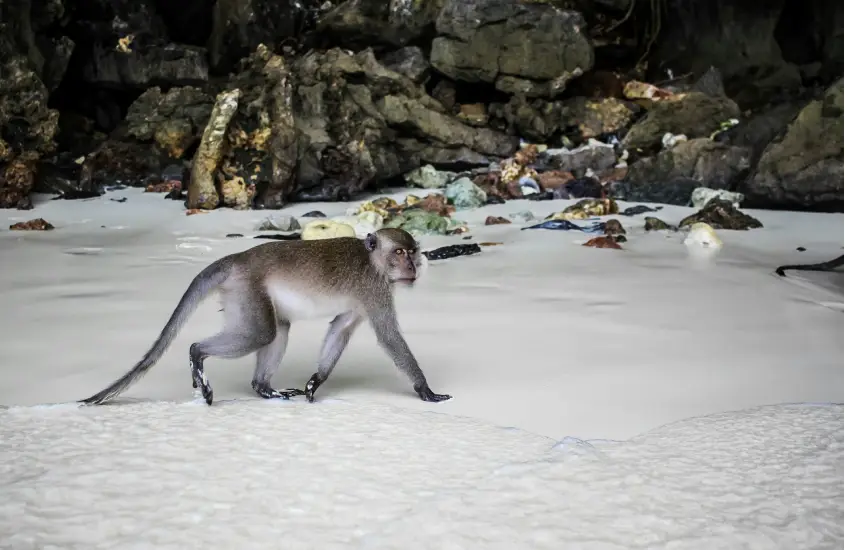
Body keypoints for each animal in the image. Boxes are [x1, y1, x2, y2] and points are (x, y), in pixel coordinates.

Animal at [80, 229, 452, 410]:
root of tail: (237, 258)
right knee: (260, 333)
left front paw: (316, 381)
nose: (412, 266)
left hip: (240, 294)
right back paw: (197, 354)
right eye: (399, 253)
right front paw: (425, 389)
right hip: (247, 288)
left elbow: (341, 328)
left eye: (412, 252)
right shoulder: (375, 289)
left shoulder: (363, 300)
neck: (372, 260)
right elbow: (389, 336)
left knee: (277, 329)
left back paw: (263, 389)